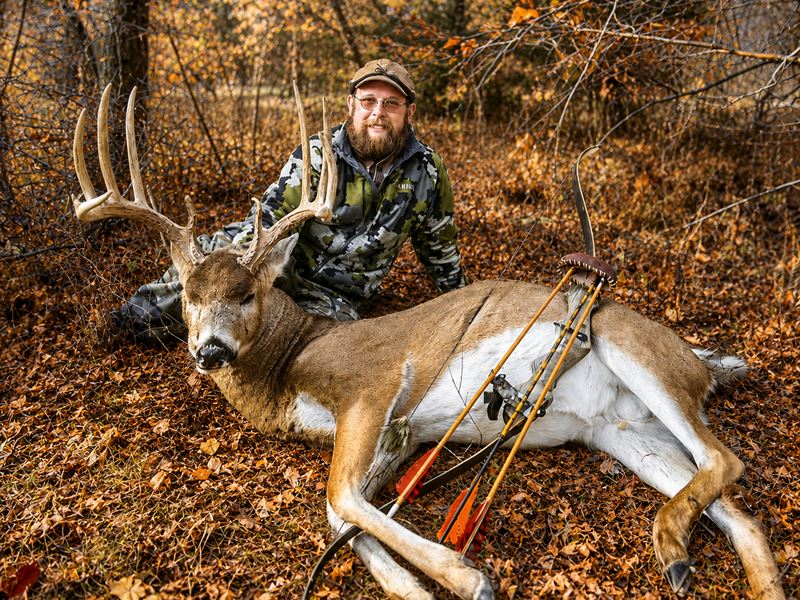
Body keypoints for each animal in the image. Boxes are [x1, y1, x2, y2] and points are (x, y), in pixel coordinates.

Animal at [71, 85, 785, 600]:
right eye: (190, 296)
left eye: (247, 293)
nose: (210, 350)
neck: (289, 364)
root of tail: (706, 364)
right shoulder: (401, 436)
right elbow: (340, 516)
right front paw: (416, 587)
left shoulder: (376, 387)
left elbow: (339, 497)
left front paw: (467, 577)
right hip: (620, 430)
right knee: (737, 508)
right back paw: (709, 567)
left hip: (631, 350)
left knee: (728, 459)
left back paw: (667, 543)